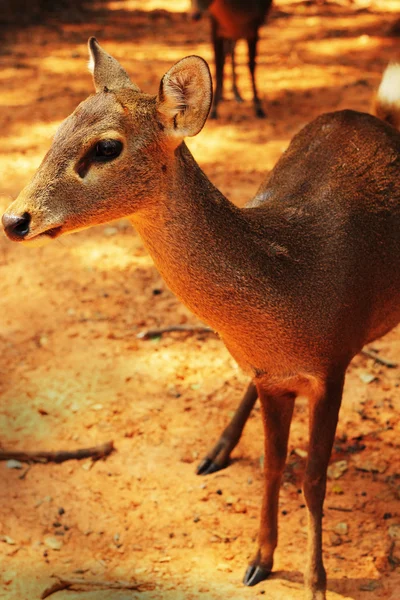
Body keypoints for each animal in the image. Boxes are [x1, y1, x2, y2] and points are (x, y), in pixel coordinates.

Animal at [2, 39, 400, 596]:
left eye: (106, 148)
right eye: (58, 129)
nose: (14, 219)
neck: (296, 285)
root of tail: (376, 117)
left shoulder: (333, 365)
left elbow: (314, 479)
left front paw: (316, 581)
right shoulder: (275, 375)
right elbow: (273, 466)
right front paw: (259, 560)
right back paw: (216, 450)